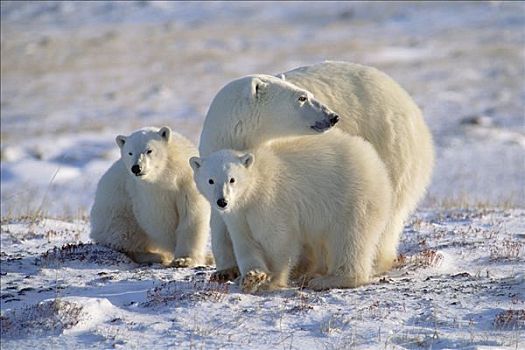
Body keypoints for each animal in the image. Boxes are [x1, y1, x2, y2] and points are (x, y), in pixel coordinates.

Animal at [199, 60, 432, 282]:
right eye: (302, 97)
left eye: (308, 93)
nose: (333, 117)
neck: (238, 133)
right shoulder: (215, 150)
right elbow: (221, 218)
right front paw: (226, 271)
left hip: (389, 143)